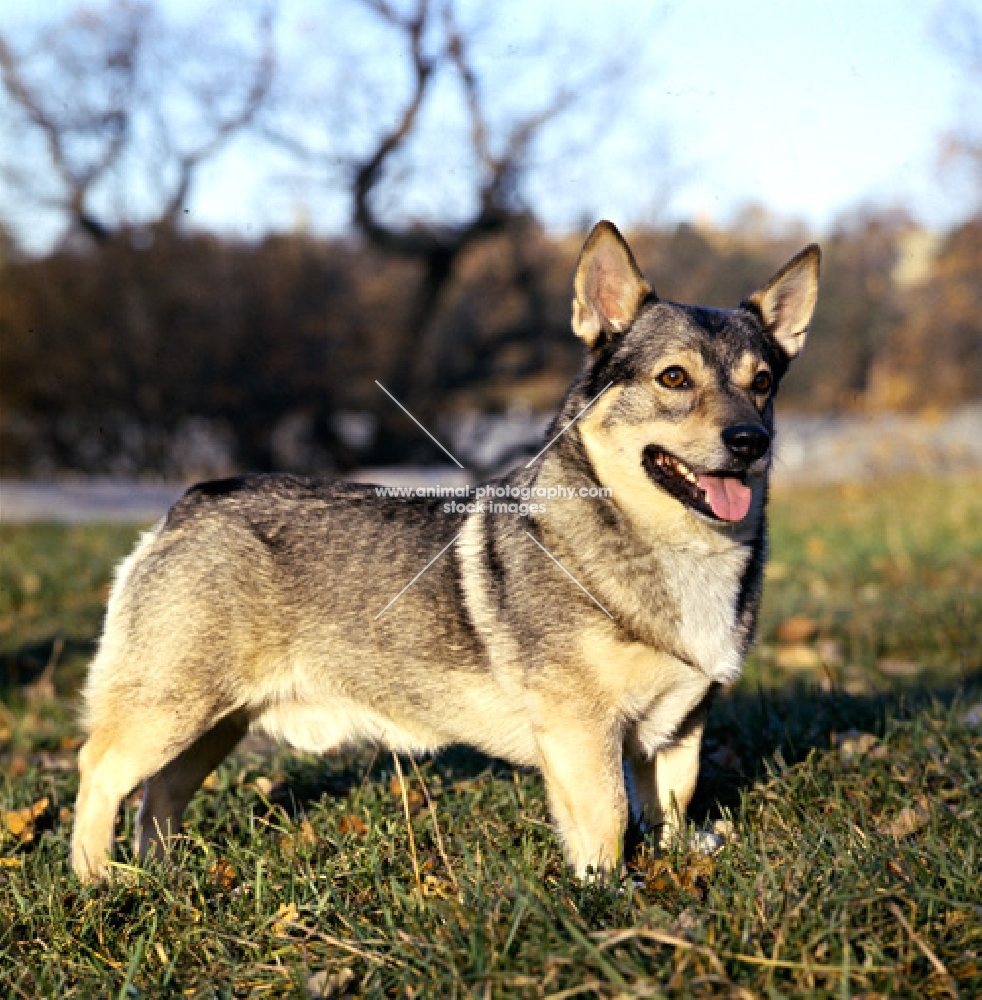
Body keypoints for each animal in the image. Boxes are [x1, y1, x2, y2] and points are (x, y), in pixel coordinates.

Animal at [71, 223, 824, 880]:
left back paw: (161, 873)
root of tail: (189, 503)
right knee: (99, 775)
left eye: (763, 383)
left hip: (215, 723)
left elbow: (671, 806)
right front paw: (606, 894)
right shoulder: (583, 731)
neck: (675, 547)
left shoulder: (678, 731)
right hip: (170, 711)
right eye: (673, 379)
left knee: (161, 793)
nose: (751, 441)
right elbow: (608, 820)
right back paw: (98, 882)